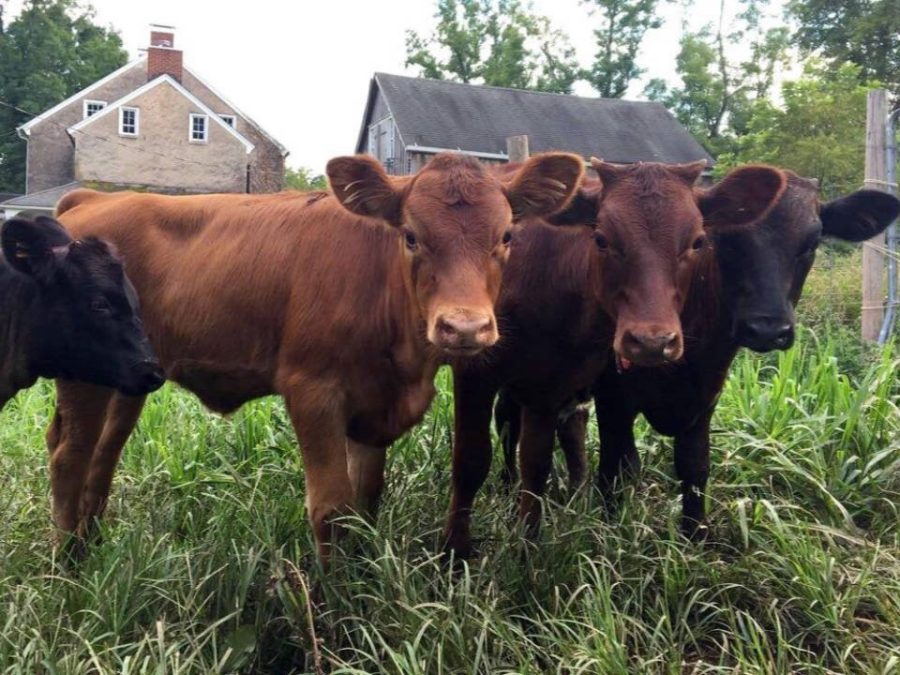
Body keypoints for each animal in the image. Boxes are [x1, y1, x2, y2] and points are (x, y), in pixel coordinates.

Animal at [47, 152, 584, 560]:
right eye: (411, 236)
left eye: (507, 236)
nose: (465, 327)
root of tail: (95, 198)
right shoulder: (313, 391)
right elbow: (331, 508)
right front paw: (332, 609)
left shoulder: (374, 406)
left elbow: (366, 500)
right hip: (83, 376)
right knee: (68, 456)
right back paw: (67, 567)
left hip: (126, 379)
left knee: (102, 453)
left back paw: (91, 545)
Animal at [442, 160, 788, 560]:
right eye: (602, 239)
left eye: (698, 242)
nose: (652, 341)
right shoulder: (475, 369)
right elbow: (470, 460)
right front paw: (455, 553)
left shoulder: (550, 386)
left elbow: (537, 465)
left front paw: (527, 548)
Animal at [496, 174, 900, 540]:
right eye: (725, 239)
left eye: (812, 242)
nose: (767, 328)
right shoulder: (614, 398)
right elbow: (617, 468)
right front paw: (613, 528)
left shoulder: (706, 397)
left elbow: (695, 467)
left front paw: (695, 536)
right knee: (509, 421)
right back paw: (508, 488)